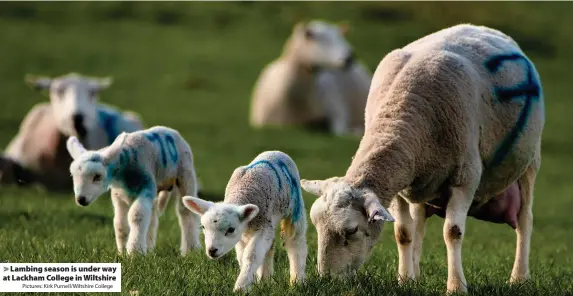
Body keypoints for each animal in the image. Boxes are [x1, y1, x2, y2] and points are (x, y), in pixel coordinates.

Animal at [65, 126, 200, 256]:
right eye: (72, 175)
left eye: (97, 176)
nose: (81, 199)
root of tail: (171, 130)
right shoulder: (118, 195)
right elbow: (120, 223)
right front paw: (122, 253)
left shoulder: (145, 188)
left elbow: (137, 216)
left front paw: (135, 251)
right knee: (152, 217)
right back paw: (149, 250)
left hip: (185, 173)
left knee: (185, 212)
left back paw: (190, 250)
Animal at [183, 150, 308, 292]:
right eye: (203, 227)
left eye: (230, 229)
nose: (211, 250)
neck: (243, 190)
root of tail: (275, 152)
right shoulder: (243, 233)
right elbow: (243, 256)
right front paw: (250, 282)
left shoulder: (263, 225)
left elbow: (251, 255)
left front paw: (241, 287)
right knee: (270, 247)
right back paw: (265, 280)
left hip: (295, 209)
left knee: (296, 242)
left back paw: (297, 281)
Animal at [298, 23, 544, 294]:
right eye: (316, 225)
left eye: (351, 230)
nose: (327, 280)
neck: (402, 113)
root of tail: (482, 28)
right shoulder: (400, 186)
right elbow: (404, 232)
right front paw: (405, 280)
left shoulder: (465, 178)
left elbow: (453, 232)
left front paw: (456, 286)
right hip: (422, 184)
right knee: (418, 223)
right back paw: (415, 272)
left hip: (530, 162)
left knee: (525, 219)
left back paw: (519, 277)